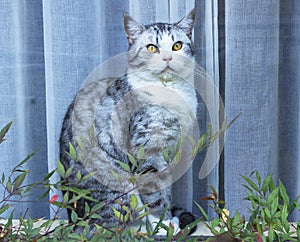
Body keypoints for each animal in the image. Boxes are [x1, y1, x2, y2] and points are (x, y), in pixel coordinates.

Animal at [59, 8, 198, 233]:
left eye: (177, 45)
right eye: (151, 48)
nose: (168, 58)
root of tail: (75, 221)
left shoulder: (169, 151)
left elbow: (165, 190)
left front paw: (170, 220)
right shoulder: (149, 151)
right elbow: (154, 193)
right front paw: (162, 224)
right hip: (116, 184)